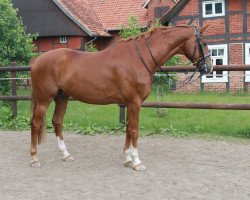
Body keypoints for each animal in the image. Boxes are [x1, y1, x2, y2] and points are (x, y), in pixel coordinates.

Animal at [29, 25, 213, 170]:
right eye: (203, 43)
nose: (209, 68)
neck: (139, 58)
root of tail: (37, 60)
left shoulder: (130, 103)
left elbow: (128, 130)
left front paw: (127, 159)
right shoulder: (134, 102)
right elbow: (134, 131)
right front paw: (137, 162)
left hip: (62, 98)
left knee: (57, 121)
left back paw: (65, 154)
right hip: (44, 99)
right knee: (35, 123)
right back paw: (34, 158)